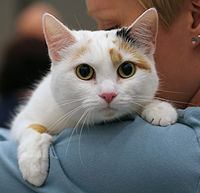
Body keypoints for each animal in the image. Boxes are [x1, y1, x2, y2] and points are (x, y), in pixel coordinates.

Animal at [10, 8, 177, 186]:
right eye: (84, 71)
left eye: (127, 69)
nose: (108, 94)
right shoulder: (24, 117)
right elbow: (31, 128)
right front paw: (33, 165)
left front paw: (159, 108)